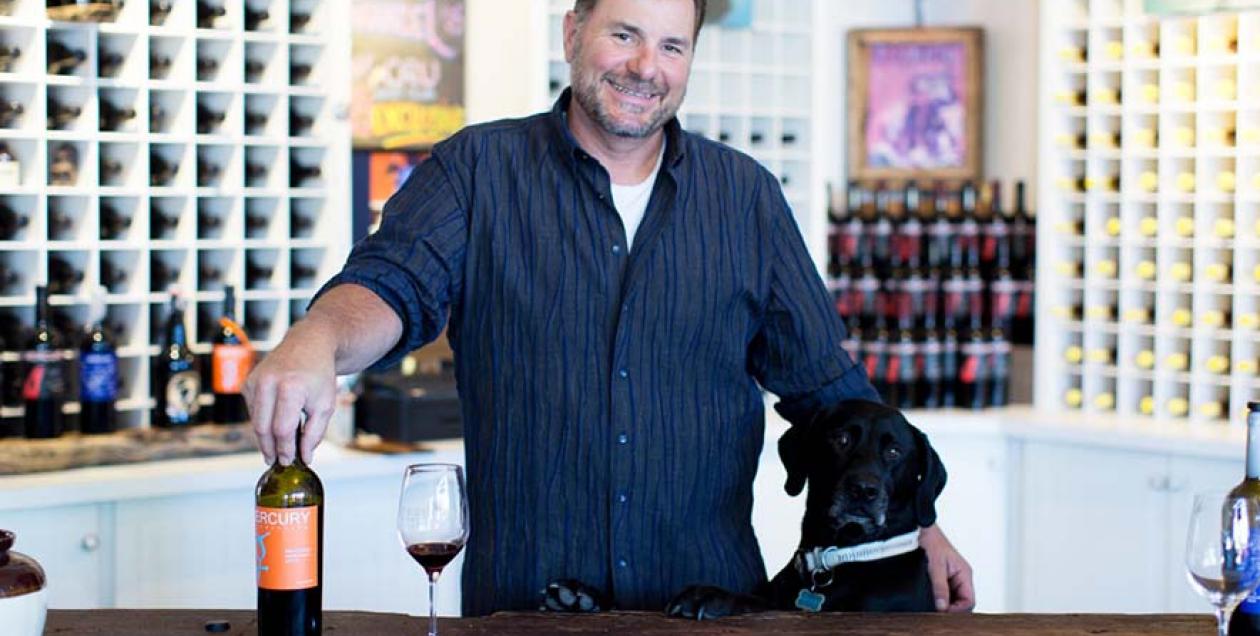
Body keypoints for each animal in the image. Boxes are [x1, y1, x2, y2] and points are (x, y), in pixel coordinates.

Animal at [539, 397, 947, 617]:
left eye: (894, 452)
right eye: (841, 438)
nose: (863, 490)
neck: (839, 558)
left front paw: (709, 596)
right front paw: (581, 597)